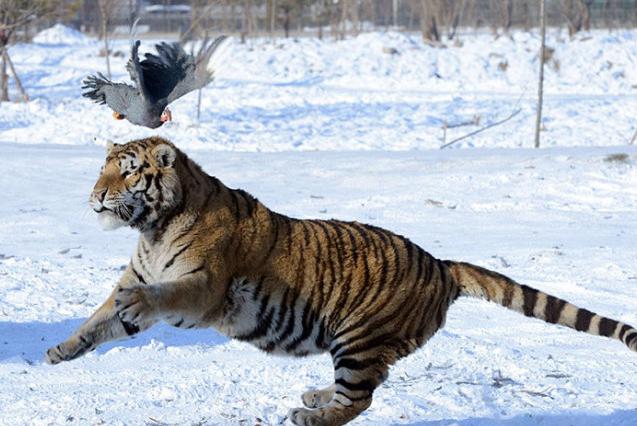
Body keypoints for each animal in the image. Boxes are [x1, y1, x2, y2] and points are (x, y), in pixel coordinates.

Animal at [46, 137, 636, 426]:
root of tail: (440, 264)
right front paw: (60, 350)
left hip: (360, 337)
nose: (95, 196)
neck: (152, 228)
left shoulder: (203, 286)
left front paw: (138, 303)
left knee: (361, 400)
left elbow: (159, 295)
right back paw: (313, 396)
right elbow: (97, 322)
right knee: (368, 386)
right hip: (355, 343)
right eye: (102, 169)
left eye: (125, 171)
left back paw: (311, 416)